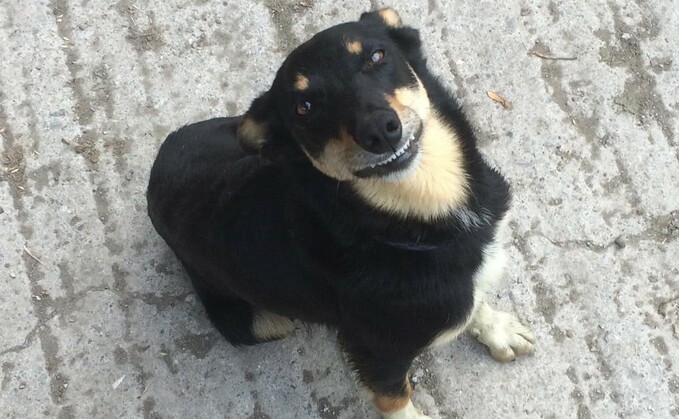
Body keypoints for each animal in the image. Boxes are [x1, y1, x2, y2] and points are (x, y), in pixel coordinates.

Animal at [147, 8, 536, 418]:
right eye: (304, 107)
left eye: (377, 56)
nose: (380, 131)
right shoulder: (378, 354)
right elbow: (396, 399)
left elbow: (476, 298)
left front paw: (497, 328)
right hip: (264, 322)